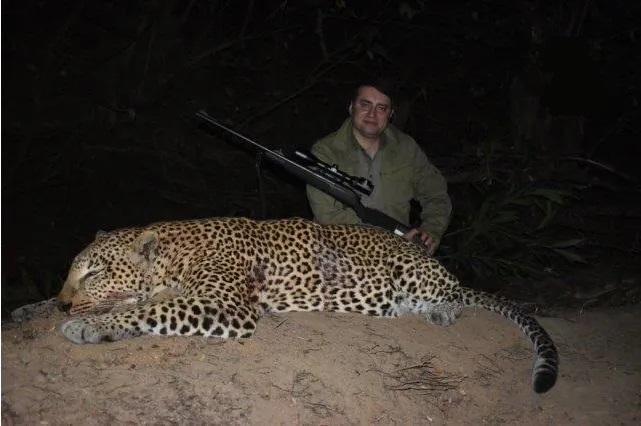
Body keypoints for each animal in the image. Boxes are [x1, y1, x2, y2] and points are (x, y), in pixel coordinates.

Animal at [57, 217, 558, 393]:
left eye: (94, 273)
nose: (61, 305)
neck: (177, 252)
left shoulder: (228, 306)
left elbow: (150, 310)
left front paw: (86, 327)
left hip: (416, 272)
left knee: (454, 298)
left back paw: (440, 311)